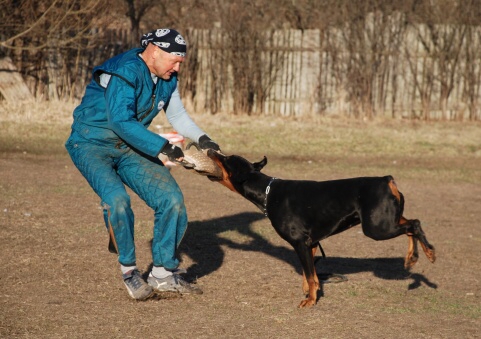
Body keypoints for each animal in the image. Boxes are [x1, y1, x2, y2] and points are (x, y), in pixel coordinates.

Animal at [206, 151, 436, 308]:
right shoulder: (312, 243)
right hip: (387, 218)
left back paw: (427, 255)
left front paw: (309, 301)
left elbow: (308, 274)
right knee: (410, 226)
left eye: (226, 158)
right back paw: (411, 257)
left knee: (414, 224)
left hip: (377, 228)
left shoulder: (300, 242)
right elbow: (311, 275)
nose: (210, 150)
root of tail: (387, 180)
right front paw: (312, 292)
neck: (268, 193)